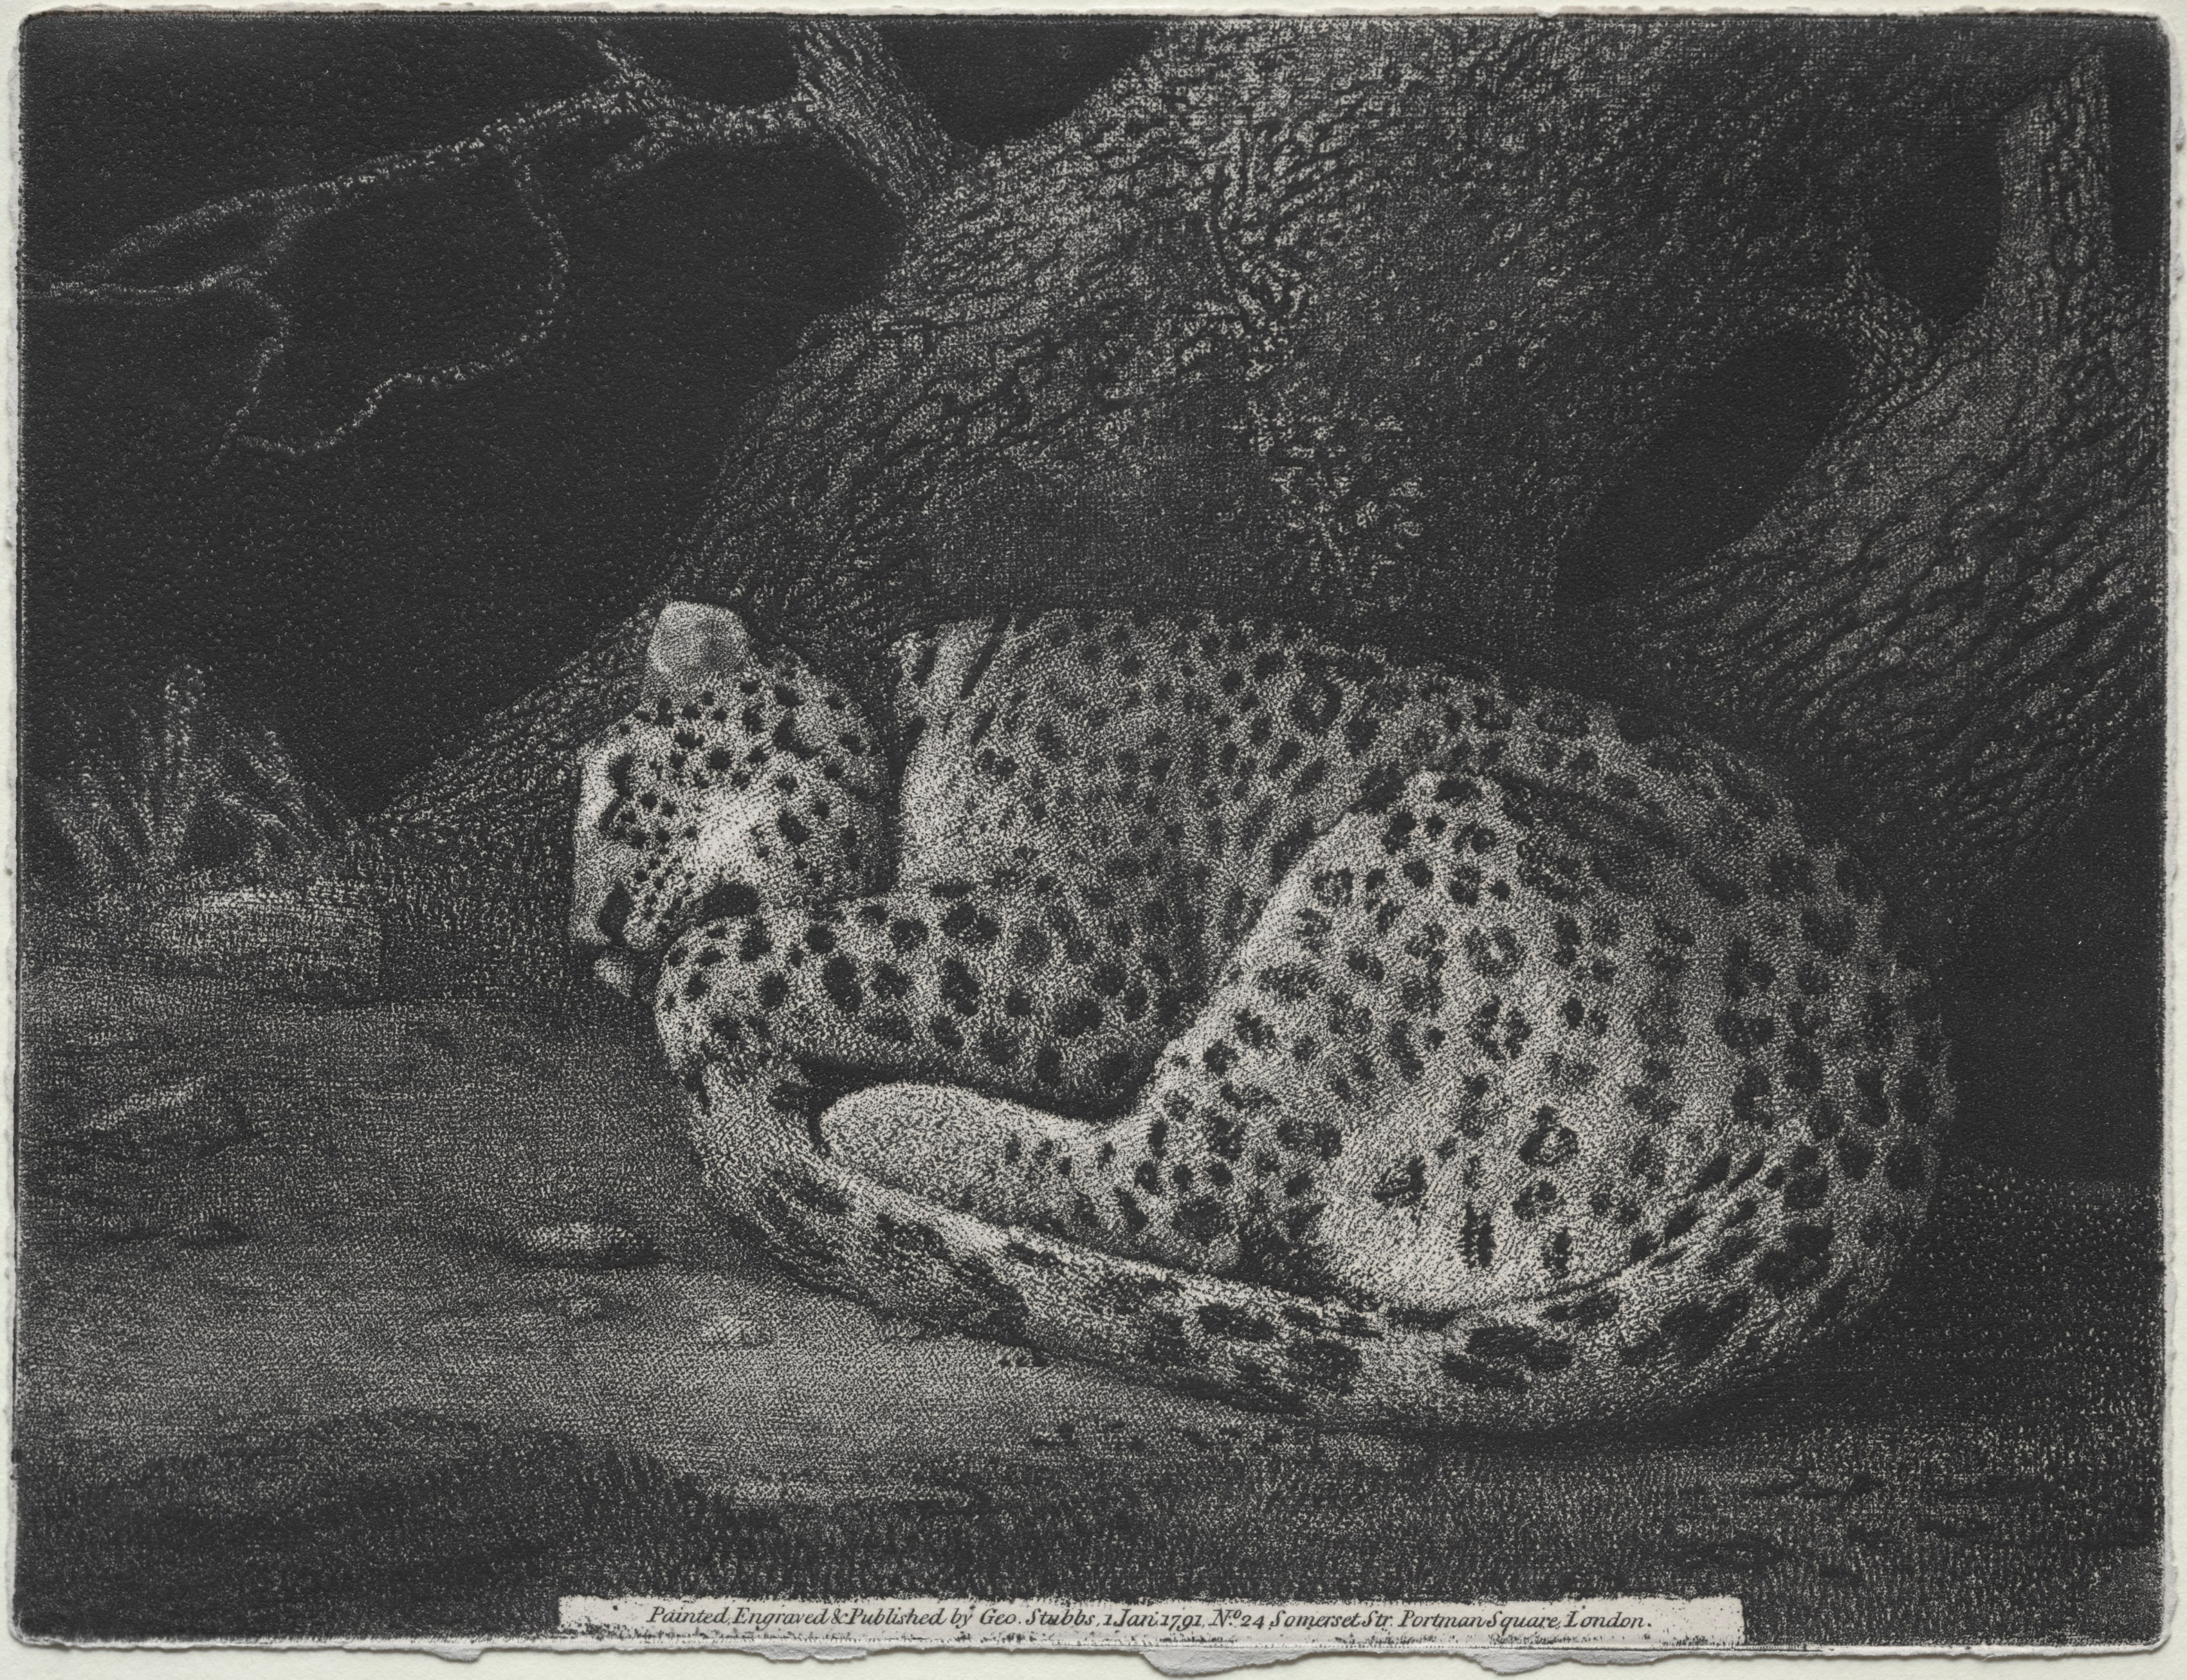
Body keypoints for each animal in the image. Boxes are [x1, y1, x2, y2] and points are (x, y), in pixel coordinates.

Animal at [570, 599, 1949, 1433]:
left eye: (622, 791)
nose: (589, 946)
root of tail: (1874, 1130)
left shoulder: (1075, 950)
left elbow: (765, 945)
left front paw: (700, 1003)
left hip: (1411, 855)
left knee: (1182, 1186)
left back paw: (878, 1119)